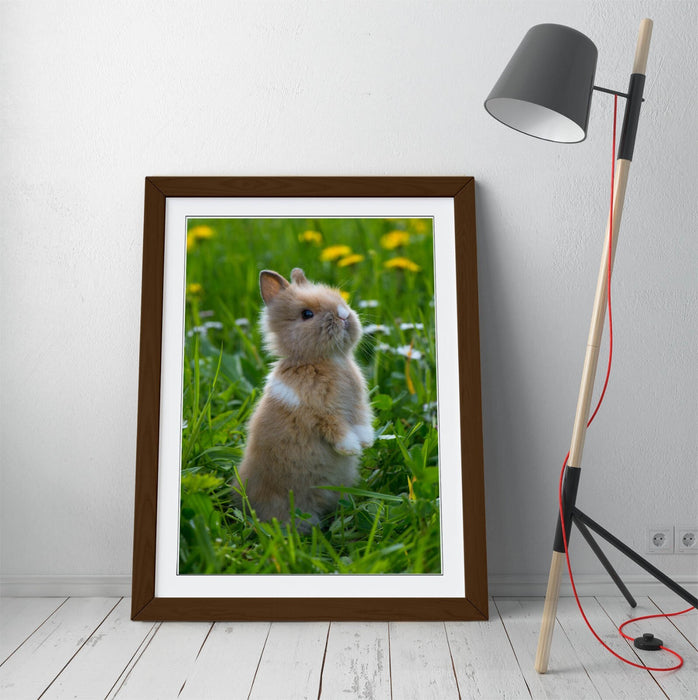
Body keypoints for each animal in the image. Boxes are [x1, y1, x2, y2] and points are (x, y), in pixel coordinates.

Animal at [233, 267, 374, 531]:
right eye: (306, 314)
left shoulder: (358, 405)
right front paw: (351, 449)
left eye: (340, 300)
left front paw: (367, 443)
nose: (343, 315)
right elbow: (337, 428)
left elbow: (361, 421)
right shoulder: (320, 412)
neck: (326, 360)